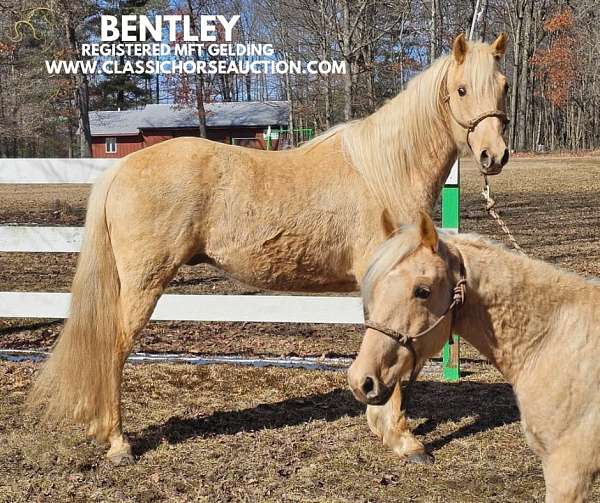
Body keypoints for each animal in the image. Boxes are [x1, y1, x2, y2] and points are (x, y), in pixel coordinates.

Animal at [31, 33, 510, 466]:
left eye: (504, 85)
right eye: (462, 89)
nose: (495, 155)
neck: (385, 170)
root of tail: (123, 166)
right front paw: (403, 440)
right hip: (143, 283)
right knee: (114, 350)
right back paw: (119, 444)